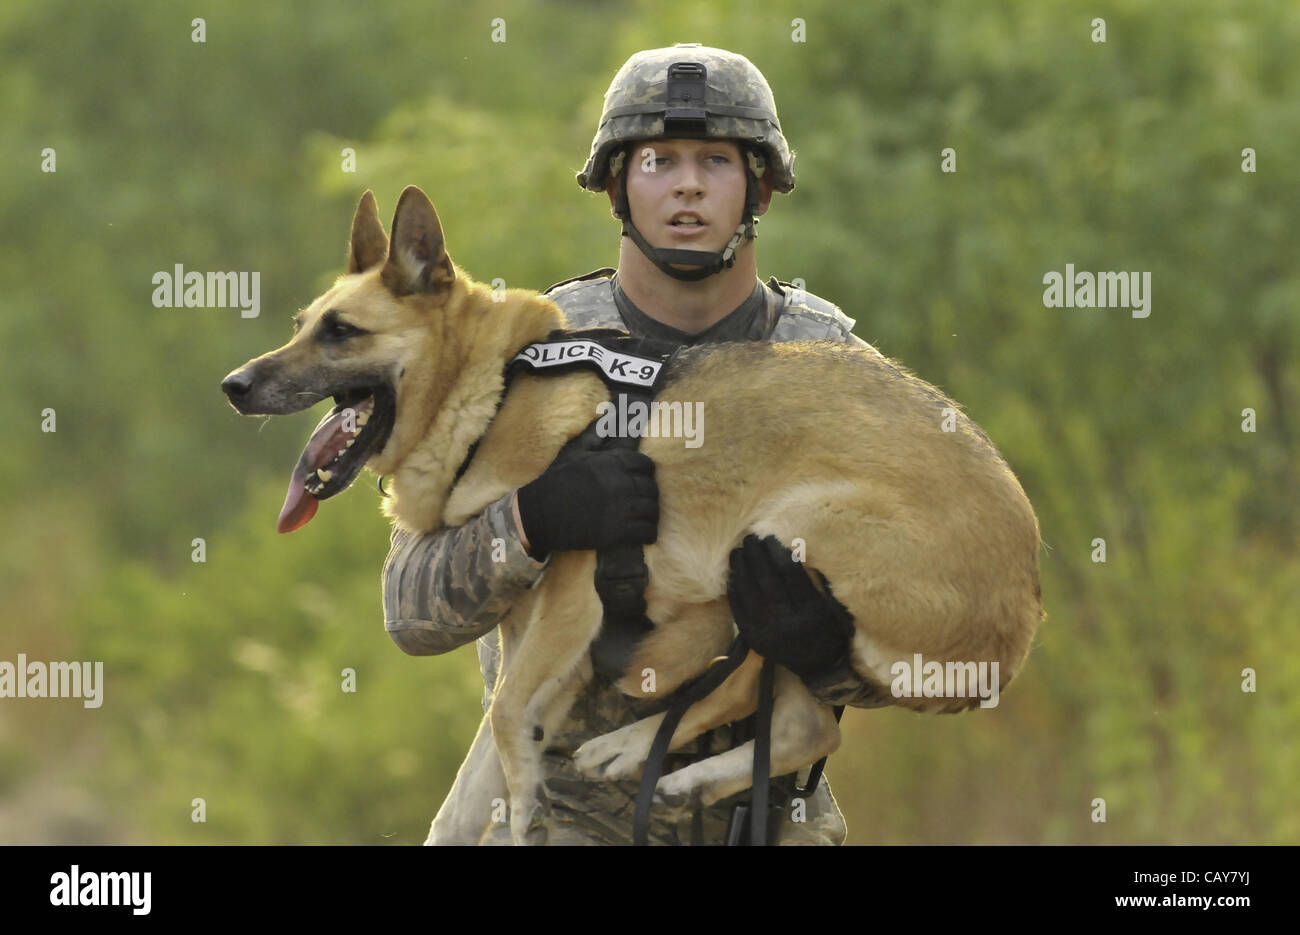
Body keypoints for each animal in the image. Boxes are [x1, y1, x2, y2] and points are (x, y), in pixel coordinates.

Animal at [223, 185, 1045, 842]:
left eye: (341, 332)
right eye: (300, 324)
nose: (234, 386)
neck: (494, 387)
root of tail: (1024, 608)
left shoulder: (568, 603)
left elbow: (506, 717)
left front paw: (528, 801)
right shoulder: (528, 634)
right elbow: (466, 791)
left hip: (783, 535)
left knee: (751, 687)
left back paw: (634, 748)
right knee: (799, 721)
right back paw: (670, 769)